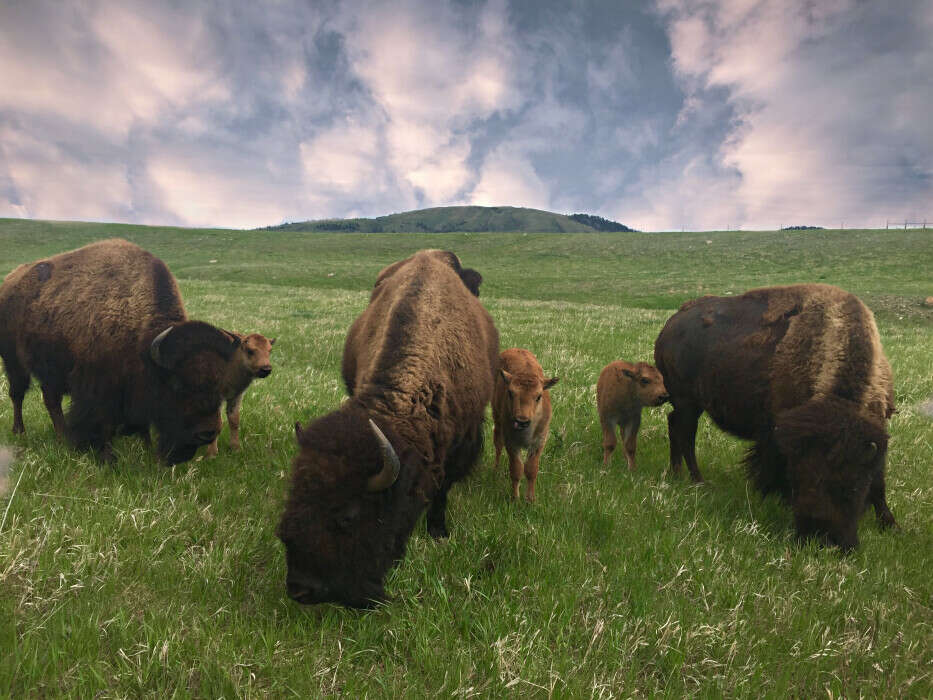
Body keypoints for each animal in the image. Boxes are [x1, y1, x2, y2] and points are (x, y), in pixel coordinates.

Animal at [0, 239, 240, 465]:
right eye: (177, 384)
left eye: (219, 383)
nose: (208, 433)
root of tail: (9, 283)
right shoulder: (99, 389)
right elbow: (101, 422)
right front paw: (108, 457)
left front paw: (145, 447)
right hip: (14, 363)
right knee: (19, 395)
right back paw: (23, 432)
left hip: (51, 372)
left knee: (50, 400)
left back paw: (62, 437)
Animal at [278, 249, 499, 608]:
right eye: (294, 496)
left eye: (348, 516)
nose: (300, 589)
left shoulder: (462, 443)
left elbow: (443, 489)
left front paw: (438, 532)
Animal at [492, 347, 558, 502]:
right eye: (510, 392)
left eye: (539, 396)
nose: (521, 421)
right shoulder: (511, 442)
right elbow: (517, 468)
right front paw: (515, 498)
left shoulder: (539, 442)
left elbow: (531, 469)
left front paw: (530, 499)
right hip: (497, 418)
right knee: (497, 443)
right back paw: (496, 469)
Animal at [654, 283, 897, 551]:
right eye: (799, 476)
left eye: (852, 485)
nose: (819, 538)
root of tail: (671, 325)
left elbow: (879, 482)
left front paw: (891, 524)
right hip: (687, 402)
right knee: (686, 436)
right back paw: (698, 482)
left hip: (688, 404)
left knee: (675, 427)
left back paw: (676, 473)